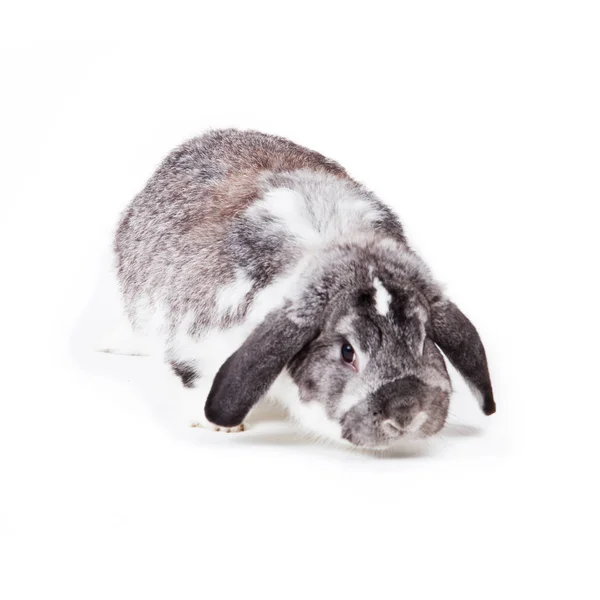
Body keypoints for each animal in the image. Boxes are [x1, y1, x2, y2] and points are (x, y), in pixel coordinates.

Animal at [113, 130, 496, 450]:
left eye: (423, 340)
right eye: (347, 351)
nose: (404, 413)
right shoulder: (194, 340)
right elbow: (192, 376)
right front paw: (219, 426)